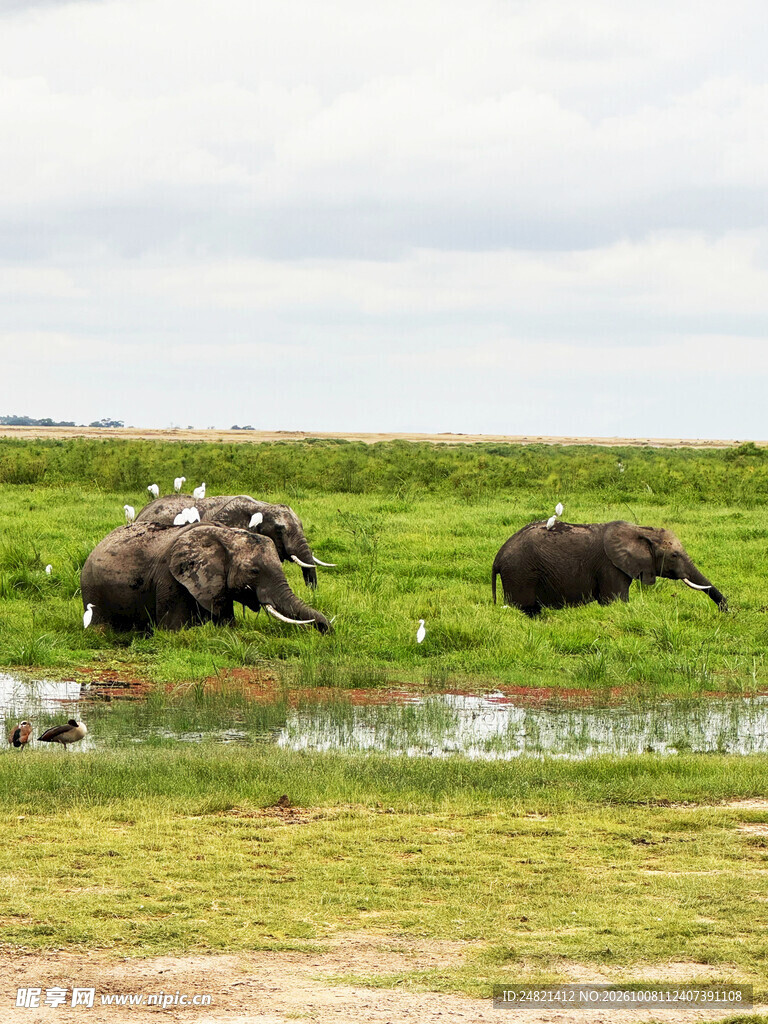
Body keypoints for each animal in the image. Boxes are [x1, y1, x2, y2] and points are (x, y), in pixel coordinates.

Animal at [81, 522, 332, 633]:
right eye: (254, 572)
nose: (327, 630)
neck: (224, 535)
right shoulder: (170, 580)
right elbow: (173, 631)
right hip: (92, 588)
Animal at [492, 519, 727, 617]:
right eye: (674, 555)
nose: (725, 611)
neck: (640, 530)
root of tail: (498, 558)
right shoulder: (610, 567)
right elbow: (615, 601)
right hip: (521, 574)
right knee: (526, 608)